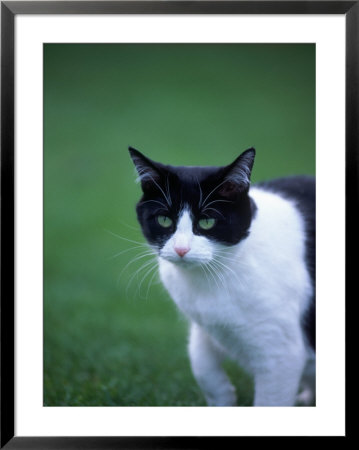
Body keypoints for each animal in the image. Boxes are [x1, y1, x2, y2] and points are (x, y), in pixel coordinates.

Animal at [129, 148, 316, 408]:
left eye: (207, 221)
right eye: (164, 219)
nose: (181, 249)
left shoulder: (281, 351)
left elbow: (270, 399)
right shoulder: (204, 321)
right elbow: (200, 360)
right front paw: (224, 398)